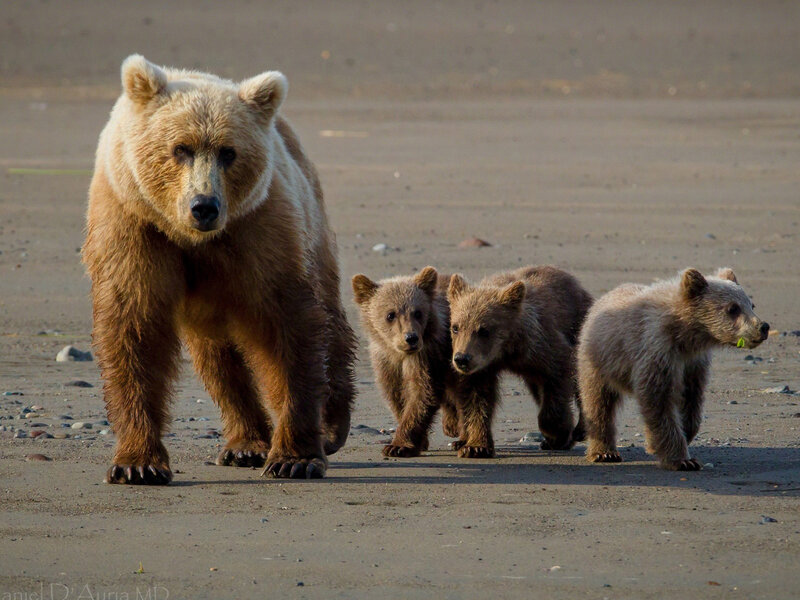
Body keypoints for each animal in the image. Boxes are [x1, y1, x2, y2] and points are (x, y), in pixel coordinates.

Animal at [82, 55, 357, 483]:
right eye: (180, 148)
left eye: (228, 152)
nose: (204, 205)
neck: (190, 238)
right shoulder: (133, 225)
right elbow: (135, 326)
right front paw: (138, 463)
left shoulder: (258, 229)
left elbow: (285, 327)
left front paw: (294, 457)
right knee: (217, 356)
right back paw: (246, 443)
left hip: (311, 221)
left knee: (327, 317)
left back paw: (330, 425)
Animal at [352, 266, 461, 457]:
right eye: (390, 314)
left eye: (417, 312)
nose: (411, 338)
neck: (398, 353)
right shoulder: (385, 361)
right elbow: (396, 395)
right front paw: (419, 441)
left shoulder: (425, 355)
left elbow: (421, 392)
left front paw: (398, 445)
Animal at [446, 265, 593, 458]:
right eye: (456, 327)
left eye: (484, 330)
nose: (462, 359)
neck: (506, 351)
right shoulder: (482, 366)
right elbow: (477, 398)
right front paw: (475, 446)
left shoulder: (542, 345)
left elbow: (558, 377)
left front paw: (557, 433)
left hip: (578, 327)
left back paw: (580, 430)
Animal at [577, 267, 769, 471]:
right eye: (732, 308)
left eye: (751, 304)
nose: (763, 327)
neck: (684, 334)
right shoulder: (657, 352)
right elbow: (659, 402)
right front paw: (683, 460)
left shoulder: (693, 364)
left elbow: (691, 399)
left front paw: (673, 437)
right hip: (600, 360)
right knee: (598, 402)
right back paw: (604, 452)